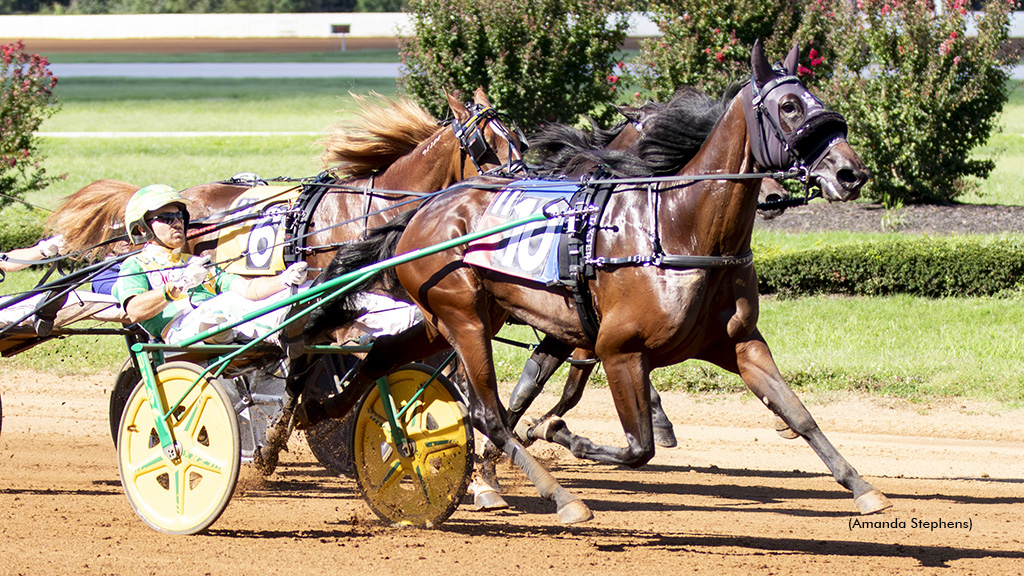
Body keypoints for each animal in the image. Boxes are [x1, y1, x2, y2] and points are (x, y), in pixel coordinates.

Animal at [306, 41, 889, 524]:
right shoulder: (616, 348)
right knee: (486, 411)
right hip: (462, 316)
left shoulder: (739, 342)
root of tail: (424, 210)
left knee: (386, 359)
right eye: (789, 106)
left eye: (818, 97)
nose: (850, 172)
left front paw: (863, 487)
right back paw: (559, 495)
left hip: (451, 316)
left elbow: (798, 413)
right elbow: (634, 446)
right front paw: (553, 431)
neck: (675, 227)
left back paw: (322, 413)